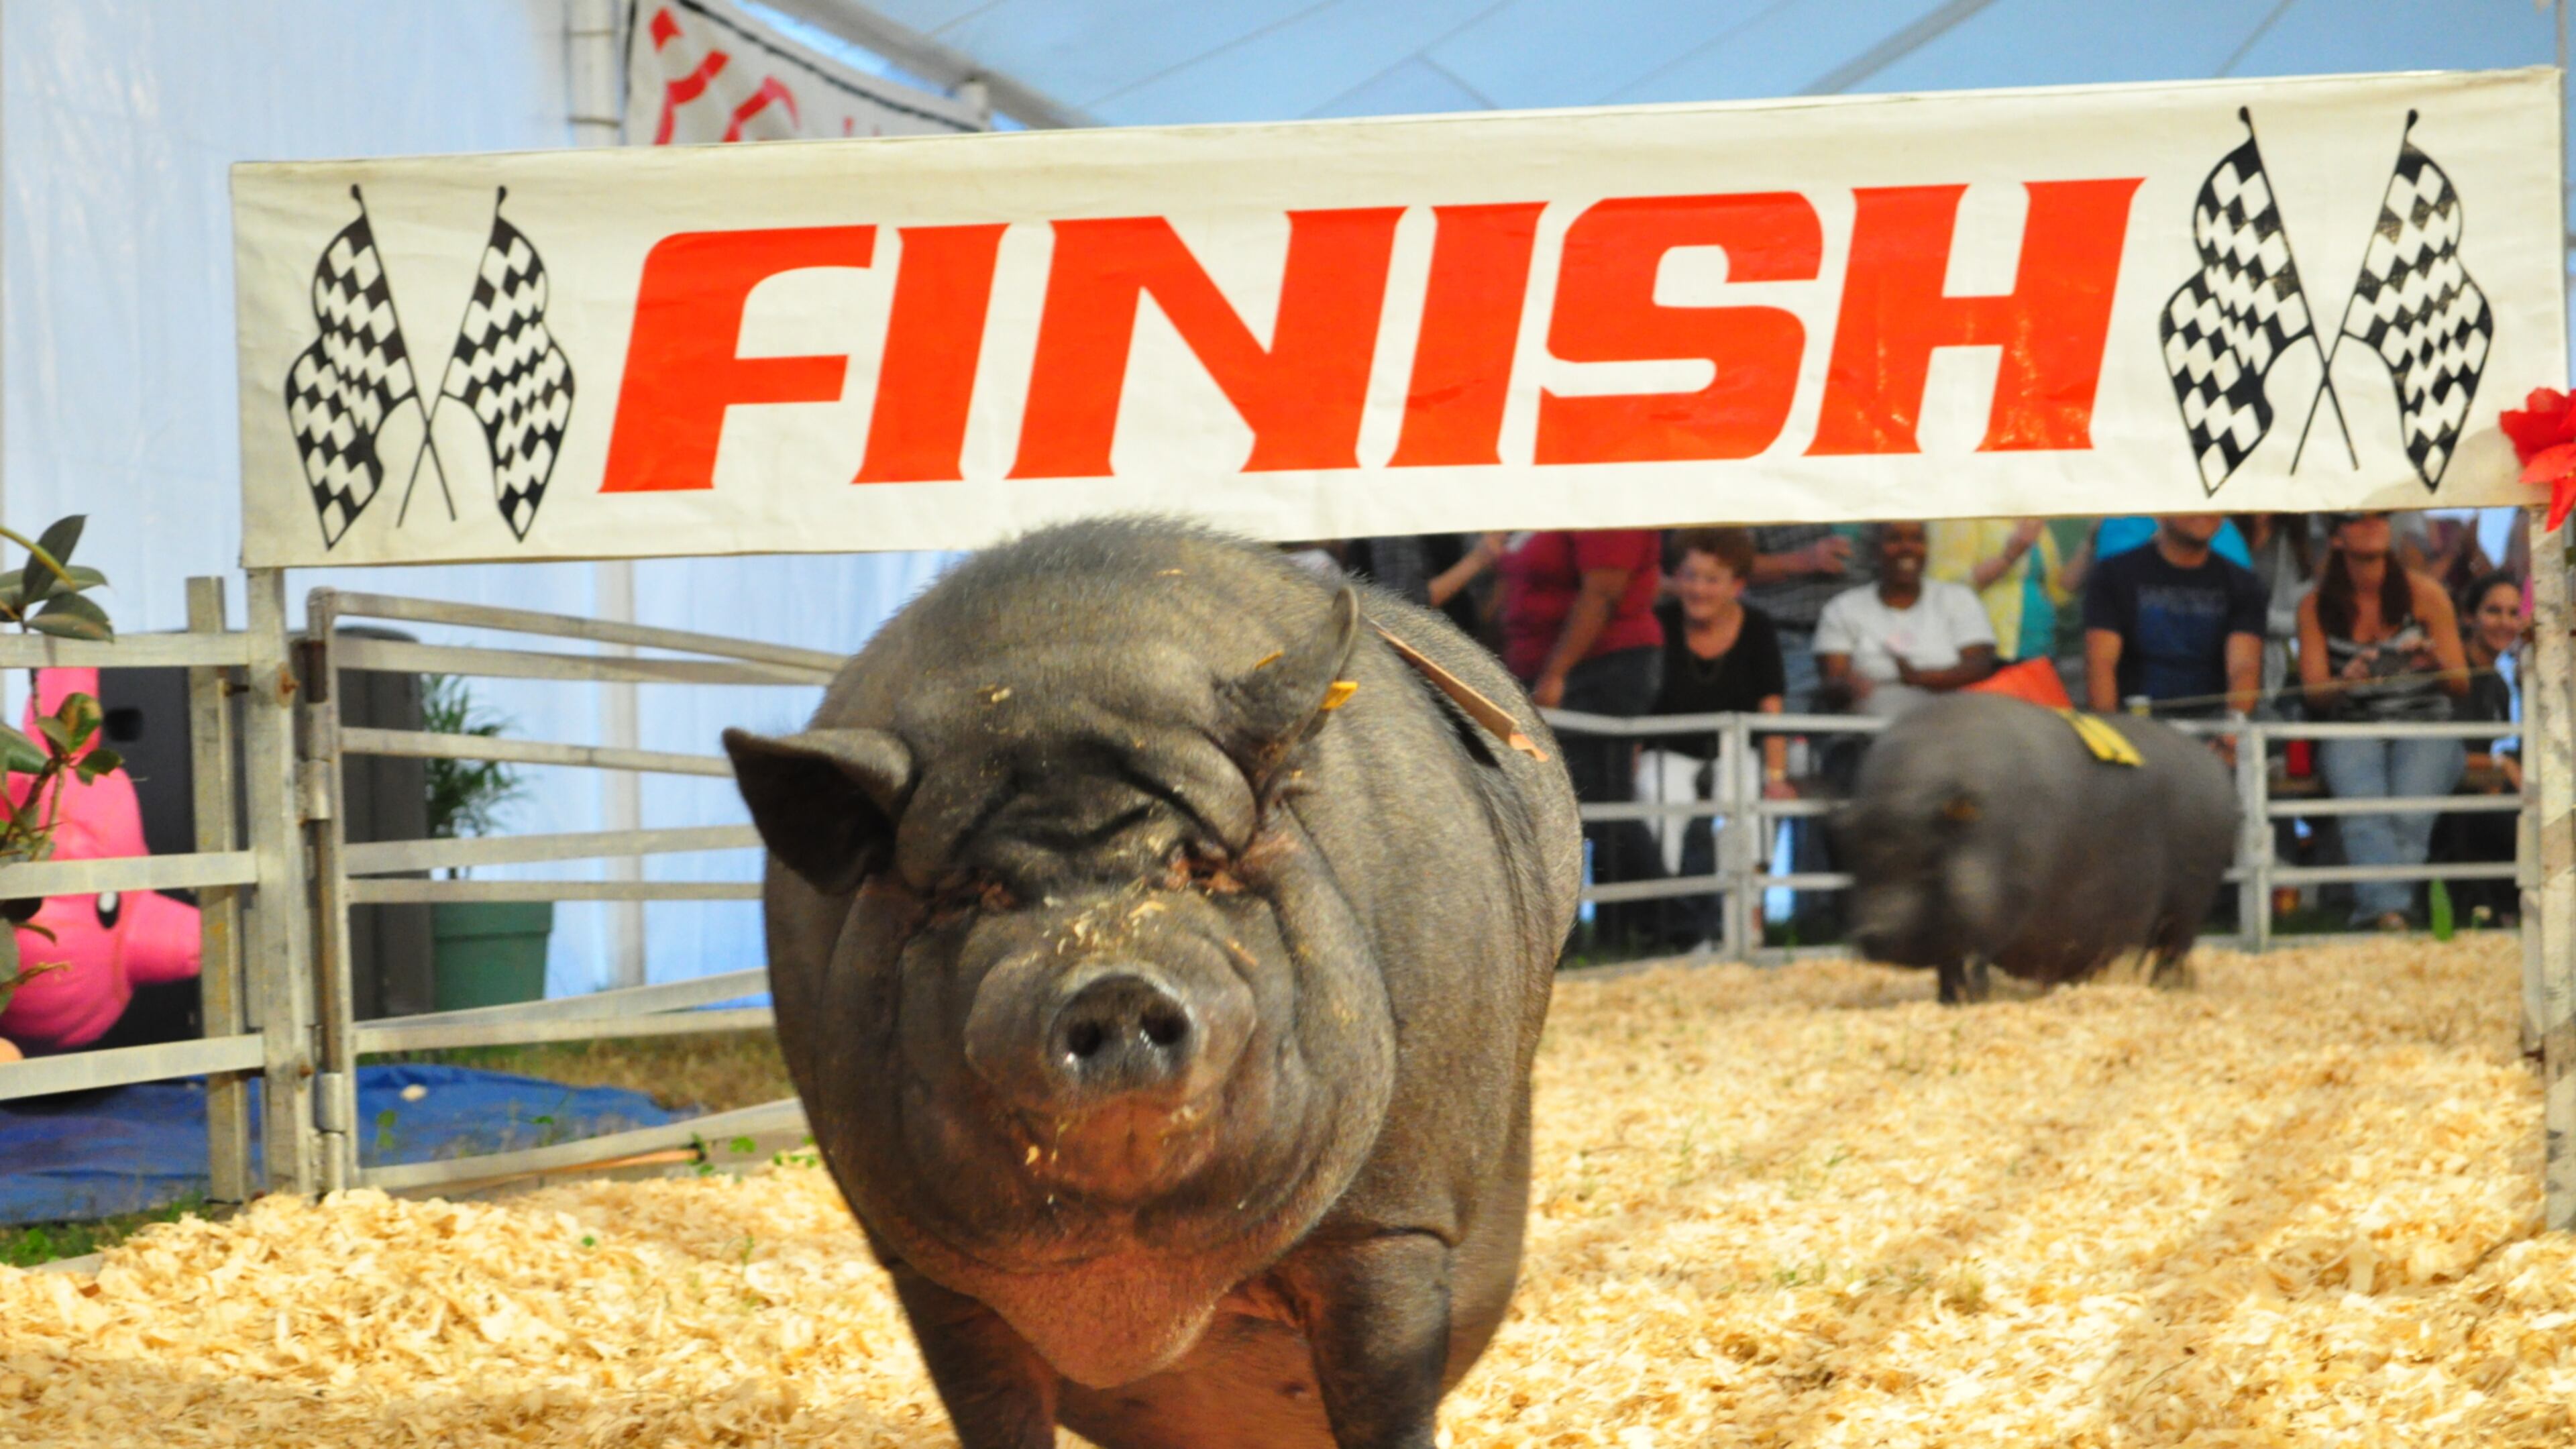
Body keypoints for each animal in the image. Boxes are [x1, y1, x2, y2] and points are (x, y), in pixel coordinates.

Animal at [723, 517, 1581, 1449]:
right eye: (973, 892)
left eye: (1195, 865)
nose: (1111, 984)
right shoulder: (926, 1272)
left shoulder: (1393, 1222)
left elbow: (1387, 1397)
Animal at [1834, 693, 2238, 1004]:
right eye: (1860, 860)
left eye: (1928, 866)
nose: (1875, 932)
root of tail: (2215, 767)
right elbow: (1947, 966)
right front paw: (1948, 1001)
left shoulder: (1998, 907)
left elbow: (1972, 960)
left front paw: (1975, 999)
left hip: (2189, 902)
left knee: (2172, 951)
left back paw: (2167, 989)